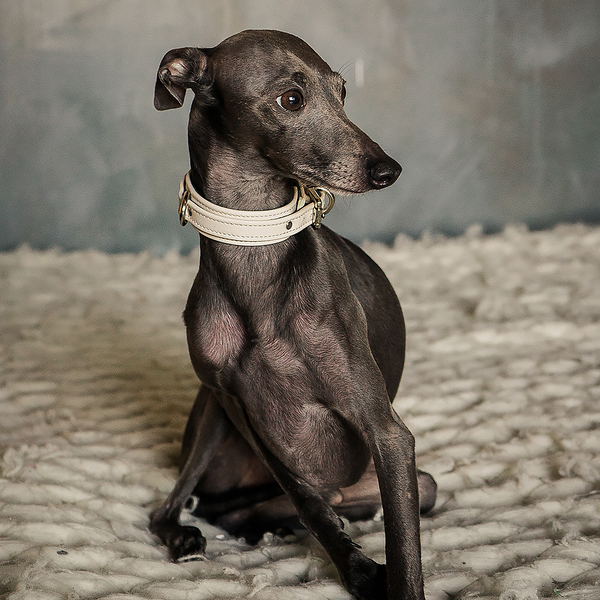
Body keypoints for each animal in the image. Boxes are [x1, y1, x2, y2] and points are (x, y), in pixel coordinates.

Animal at [150, 29, 436, 600]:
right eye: (291, 99)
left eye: (342, 92)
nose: (387, 171)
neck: (255, 257)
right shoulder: (234, 401)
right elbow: (309, 500)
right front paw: (358, 568)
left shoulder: (389, 437)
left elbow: (404, 550)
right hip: (209, 422)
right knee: (175, 510)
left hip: (416, 484)